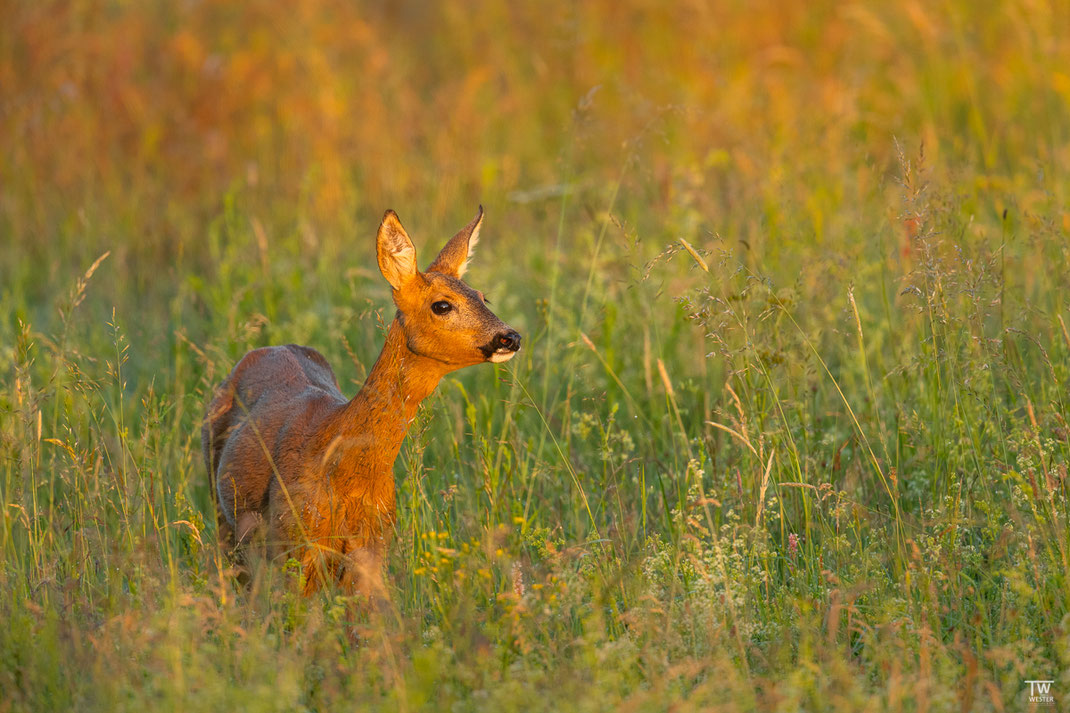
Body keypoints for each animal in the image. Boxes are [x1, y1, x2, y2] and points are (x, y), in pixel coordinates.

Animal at [202, 205, 520, 595]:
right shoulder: (295, 541)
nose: (510, 337)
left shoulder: (373, 546)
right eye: (442, 305)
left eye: (482, 296)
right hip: (223, 511)